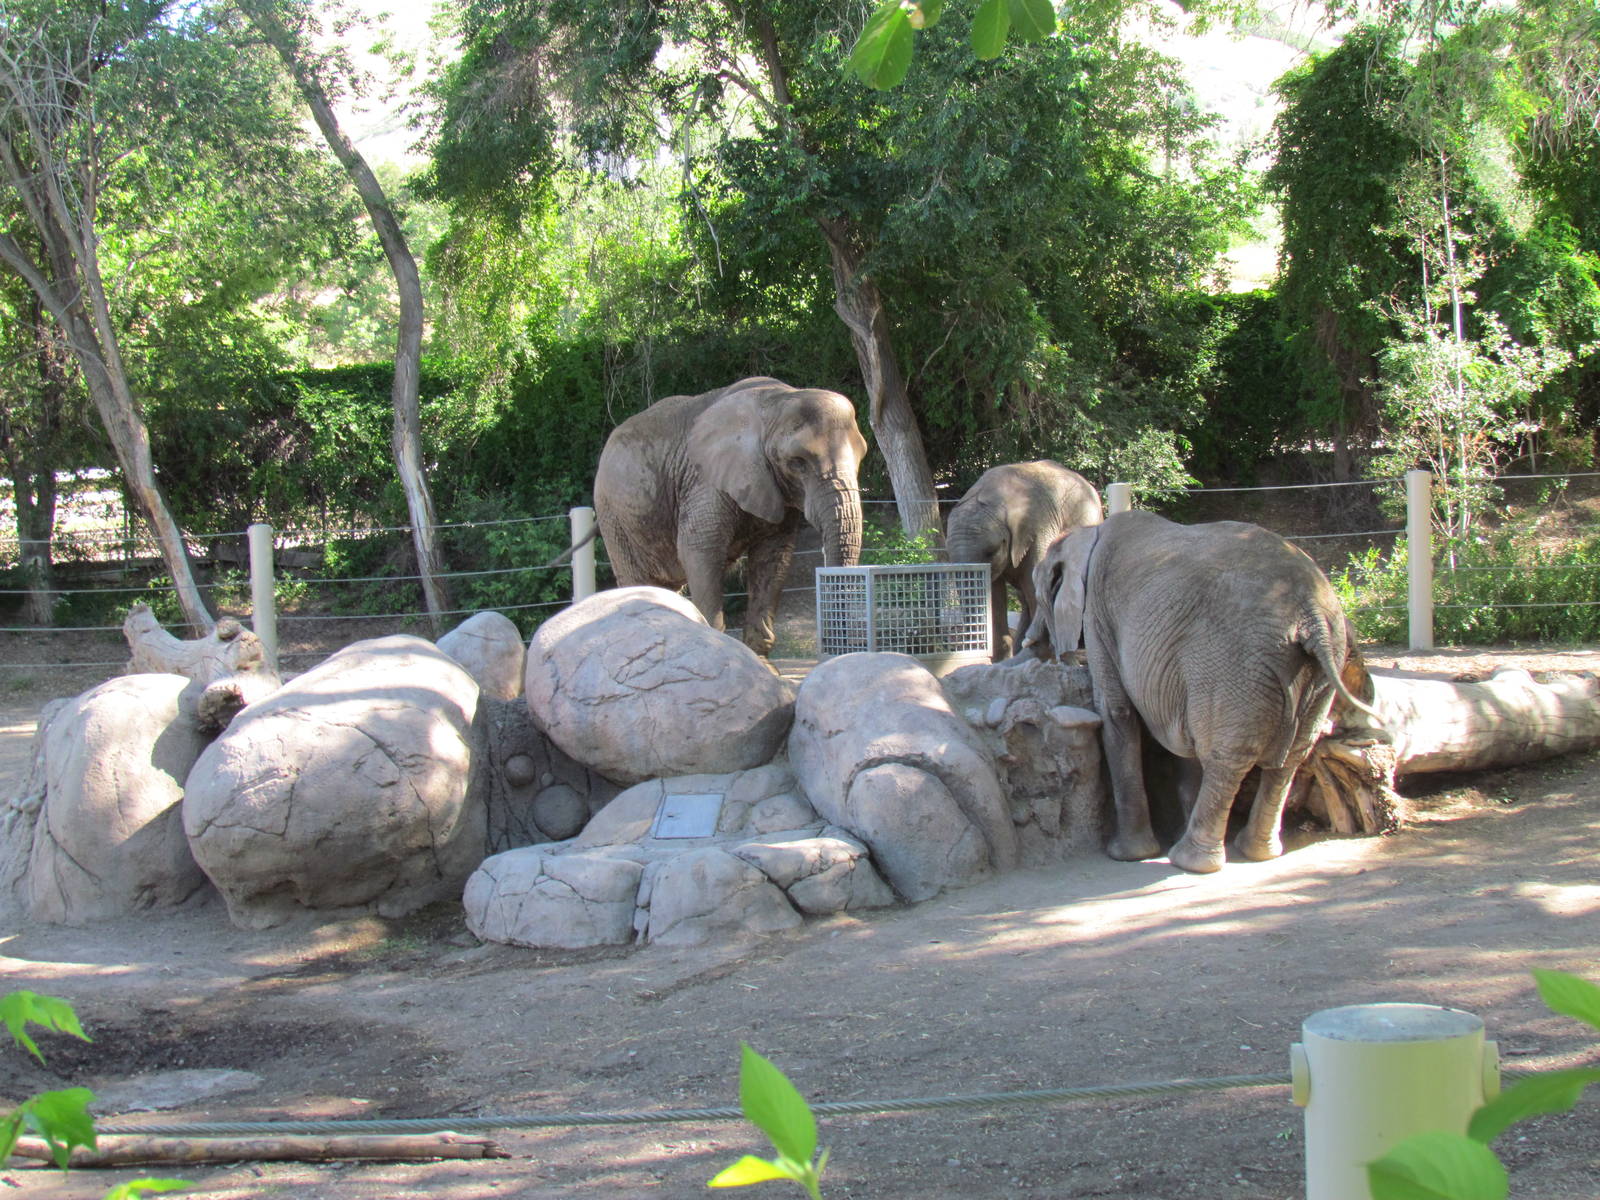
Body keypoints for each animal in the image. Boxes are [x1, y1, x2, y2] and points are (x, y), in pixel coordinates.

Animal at [593, 376, 868, 655]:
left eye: (862, 456)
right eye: (797, 462)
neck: (777, 400)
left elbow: (773, 557)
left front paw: (762, 661)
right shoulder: (705, 482)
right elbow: (699, 551)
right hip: (613, 515)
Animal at [1024, 510, 1381, 874]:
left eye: (1040, 593)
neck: (1087, 533)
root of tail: (1311, 613)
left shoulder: (1099, 615)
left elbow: (1117, 712)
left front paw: (1126, 854)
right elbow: (1184, 737)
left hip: (1236, 661)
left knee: (1228, 756)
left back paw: (1192, 861)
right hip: (1321, 666)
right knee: (1292, 755)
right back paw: (1257, 852)